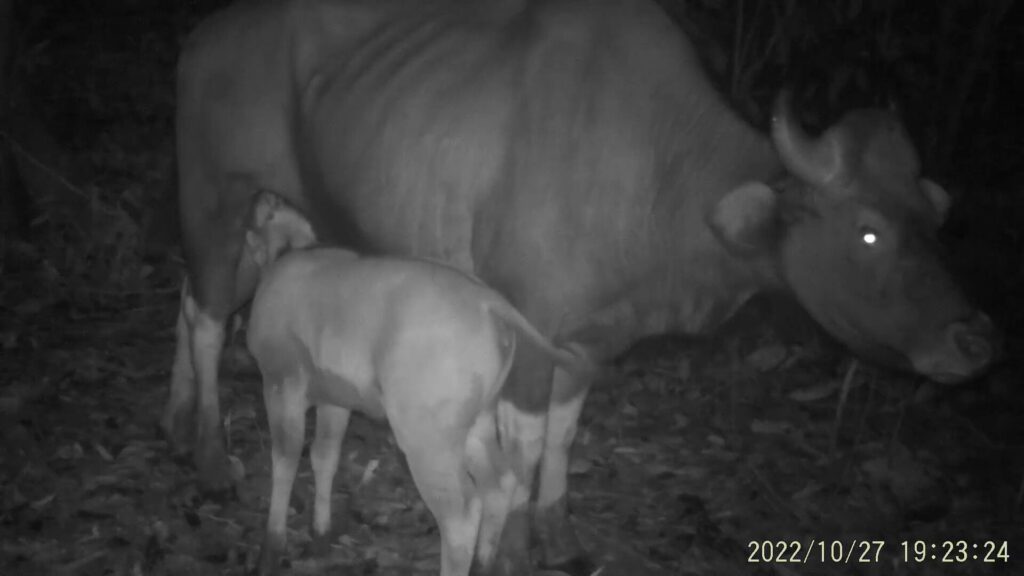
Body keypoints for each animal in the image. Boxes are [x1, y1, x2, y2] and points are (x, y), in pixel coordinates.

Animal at [164, 0, 998, 574]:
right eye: (868, 231)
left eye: (933, 214)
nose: (974, 340)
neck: (656, 170)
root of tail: (207, 36)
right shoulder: (532, 337)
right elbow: (525, 449)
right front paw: (509, 549)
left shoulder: (591, 343)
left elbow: (564, 437)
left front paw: (558, 532)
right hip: (212, 197)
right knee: (207, 317)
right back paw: (208, 458)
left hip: (275, 216)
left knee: (193, 300)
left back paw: (176, 418)